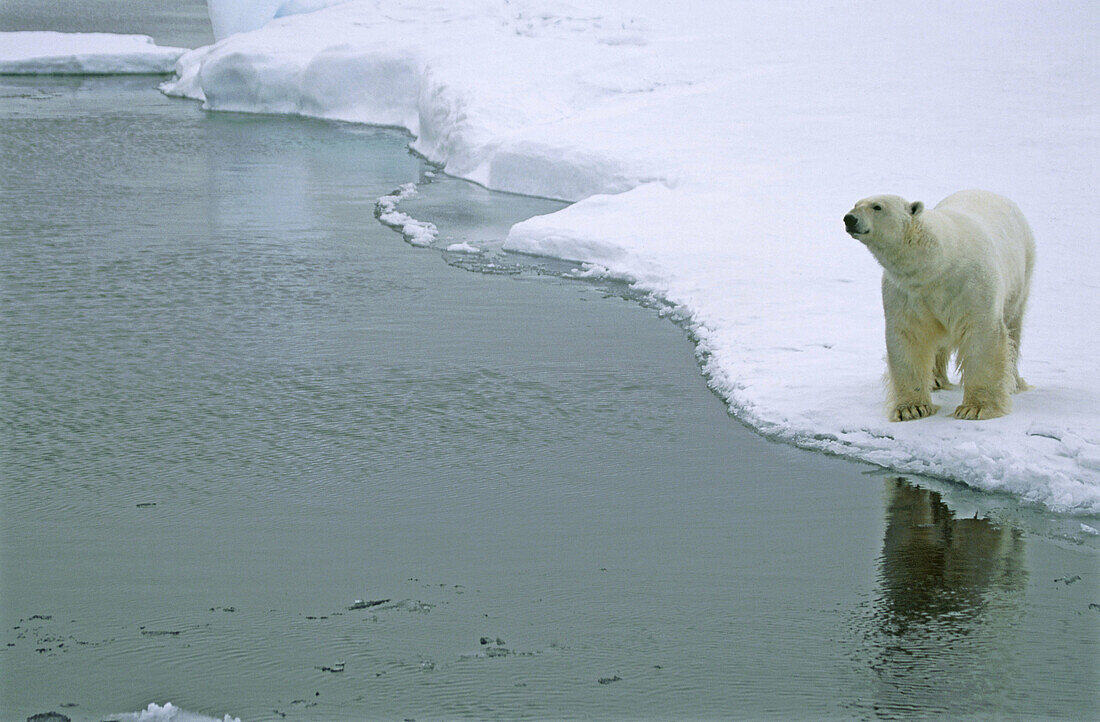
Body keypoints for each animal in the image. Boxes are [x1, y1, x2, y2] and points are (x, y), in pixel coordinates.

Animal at [844, 190, 1034, 422]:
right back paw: (934, 380)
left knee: (1013, 326)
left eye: (877, 206)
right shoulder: (907, 292)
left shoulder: (972, 283)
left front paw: (976, 408)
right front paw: (912, 409)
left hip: (1021, 273)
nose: (849, 219)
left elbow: (983, 335)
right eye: (856, 204)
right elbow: (909, 336)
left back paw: (1013, 382)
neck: (938, 263)